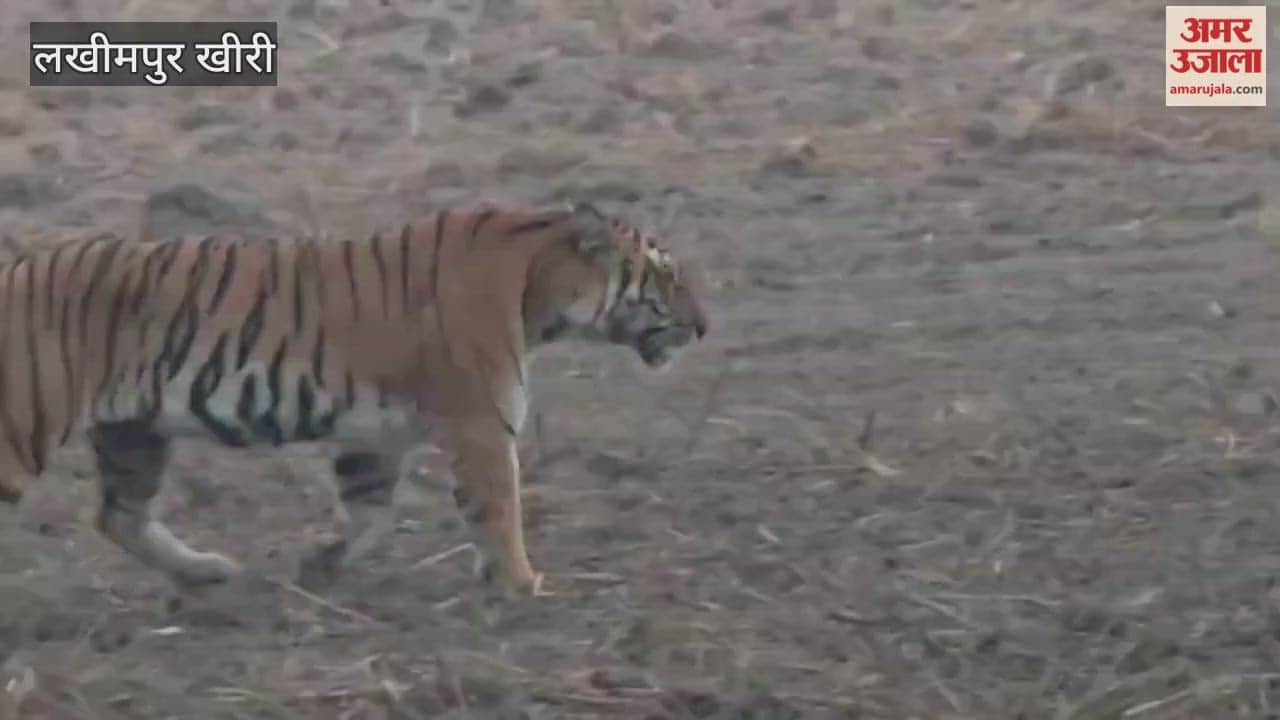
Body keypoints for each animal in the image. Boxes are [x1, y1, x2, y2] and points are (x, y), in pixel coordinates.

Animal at [0, 201, 708, 597]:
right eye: (667, 274)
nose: (704, 328)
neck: (541, 288)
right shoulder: (482, 424)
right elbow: (500, 509)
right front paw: (521, 584)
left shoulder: (373, 436)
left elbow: (371, 514)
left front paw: (319, 566)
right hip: (26, 427)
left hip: (133, 433)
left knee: (119, 516)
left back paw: (206, 571)